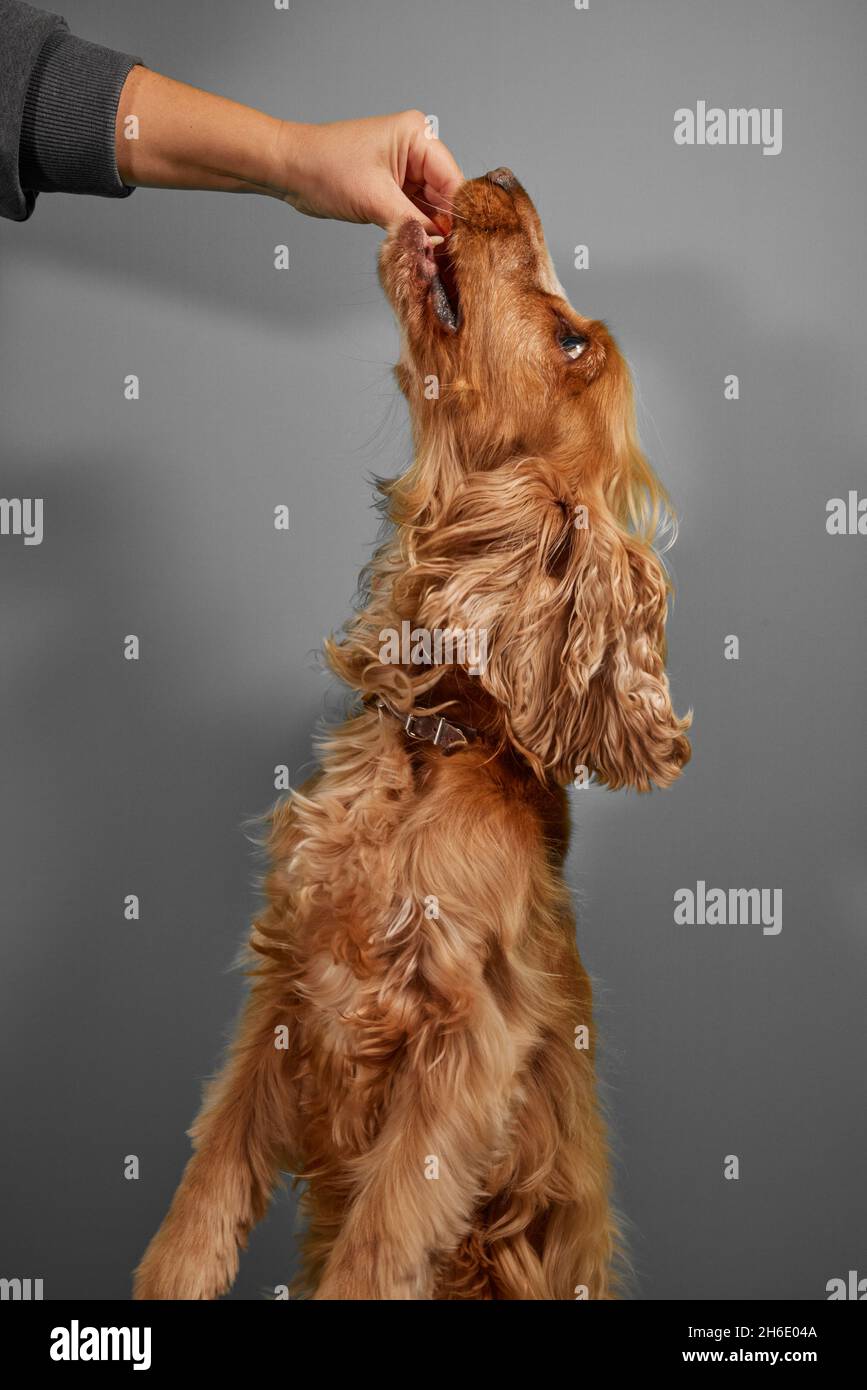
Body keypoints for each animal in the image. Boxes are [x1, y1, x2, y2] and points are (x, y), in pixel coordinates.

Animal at [134, 168, 691, 1295]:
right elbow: (204, 1192)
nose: (506, 178)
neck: (430, 745)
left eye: (570, 340)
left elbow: (375, 1248)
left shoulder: (460, 1060)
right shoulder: (285, 990)